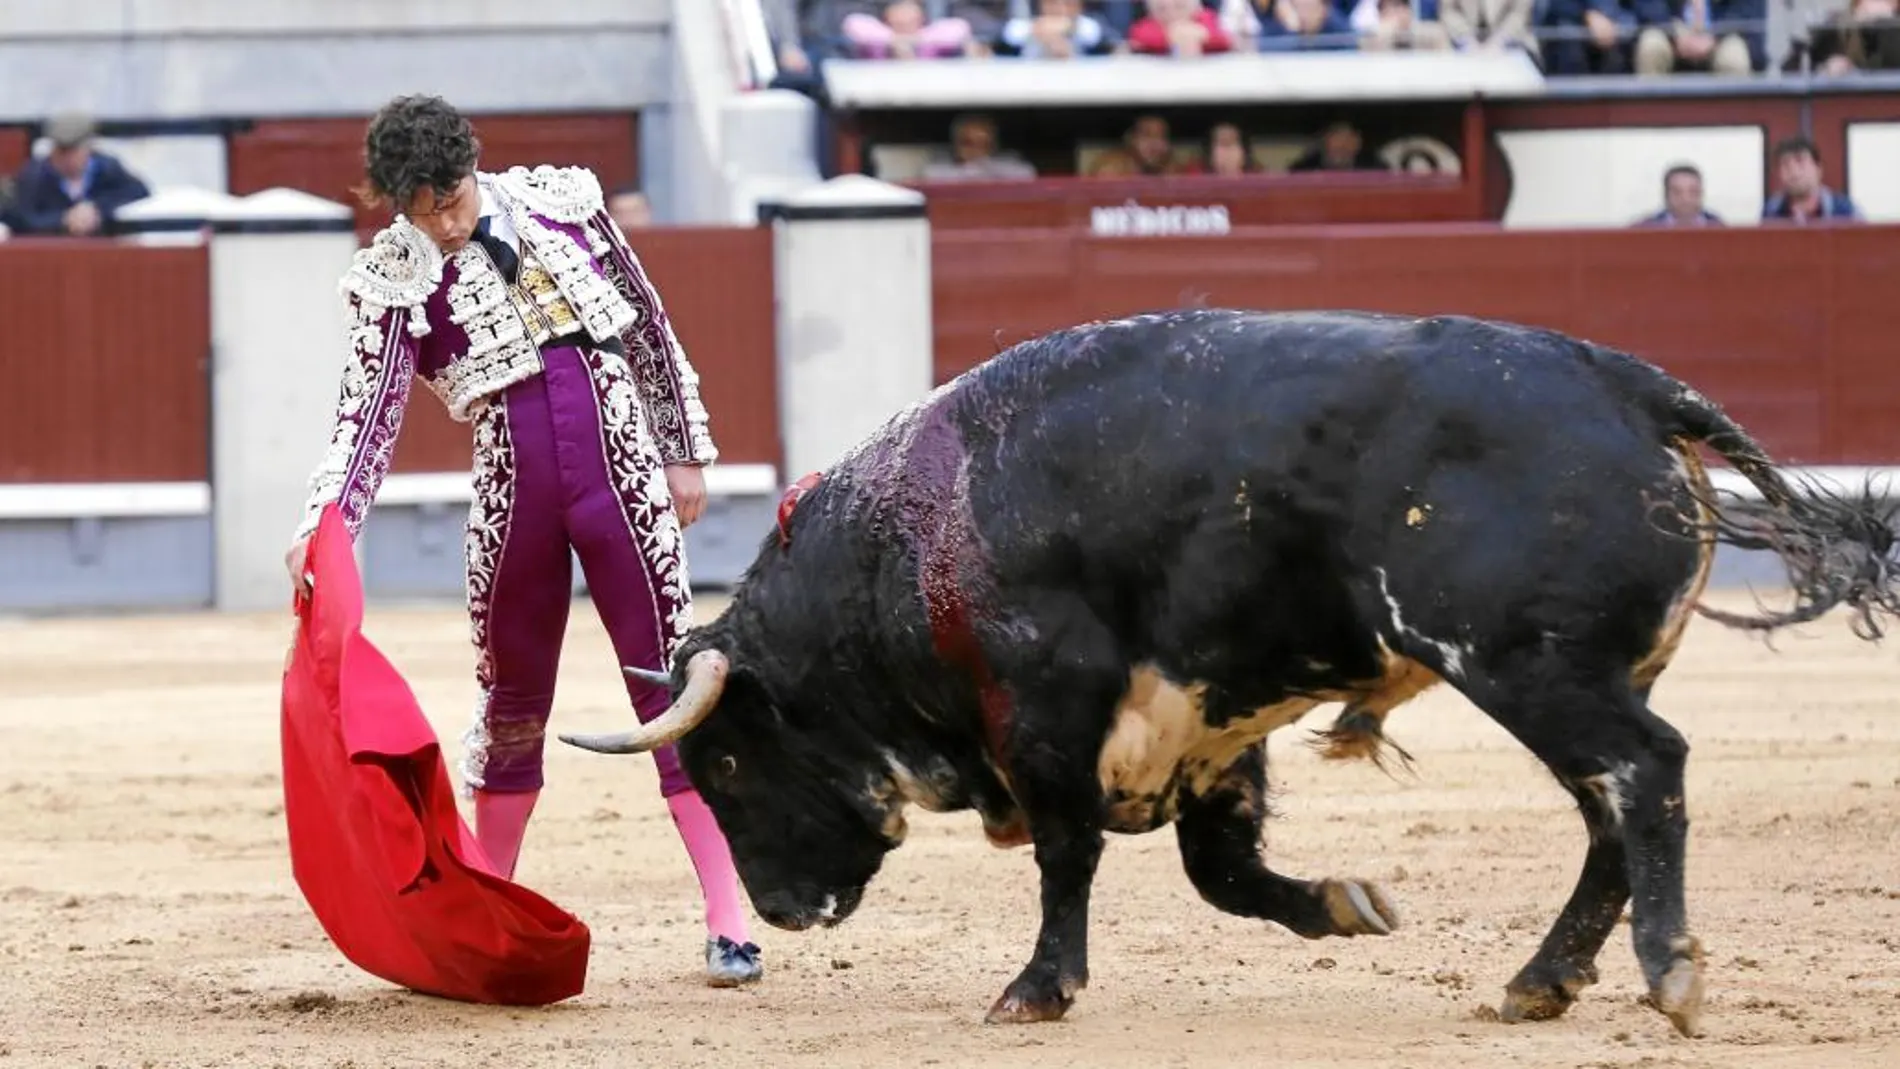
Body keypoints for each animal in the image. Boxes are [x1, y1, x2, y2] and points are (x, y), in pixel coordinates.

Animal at [554, 307, 1892, 1040]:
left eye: (728, 757)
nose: (778, 914)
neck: (917, 537)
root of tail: (1630, 384)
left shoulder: (1046, 717)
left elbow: (1068, 855)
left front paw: (1035, 989)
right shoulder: (1209, 722)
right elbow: (1224, 872)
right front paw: (1347, 904)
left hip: (1530, 667)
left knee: (1643, 776)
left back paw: (1668, 974)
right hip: (1581, 674)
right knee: (1610, 811)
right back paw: (1538, 983)